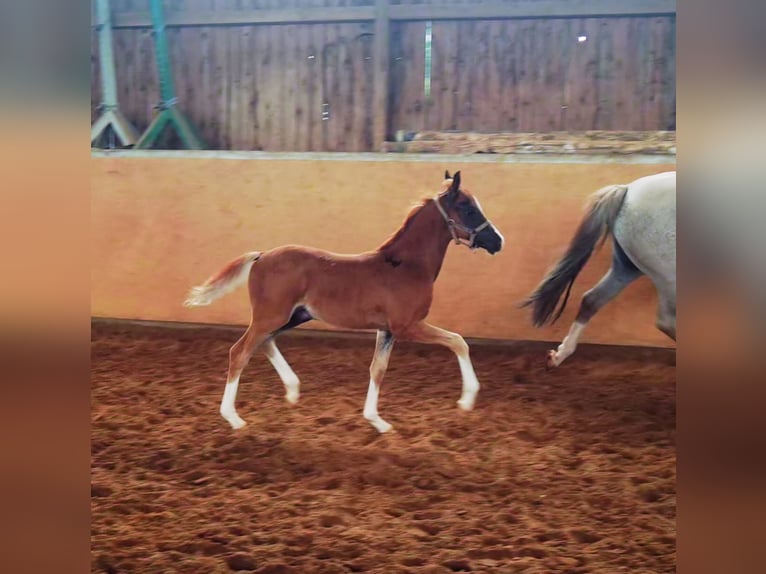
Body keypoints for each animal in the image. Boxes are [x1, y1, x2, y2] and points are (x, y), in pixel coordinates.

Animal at [185, 173, 508, 434]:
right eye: (468, 208)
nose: (498, 241)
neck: (405, 266)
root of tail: (261, 255)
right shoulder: (408, 326)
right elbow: (458, 341)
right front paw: (467, 399)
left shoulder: (386, 330)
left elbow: (377, 369)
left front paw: (377, 421)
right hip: (270, 317)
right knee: (240, 352)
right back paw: (234, 417)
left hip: (291, 317)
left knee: (263, 344)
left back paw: (292, 390)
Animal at [520, 172, 680, 368]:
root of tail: (627, 189)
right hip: (667, 275)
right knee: (665, 320)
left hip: (627, 268)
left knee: (592, 299)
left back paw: (558, 356)